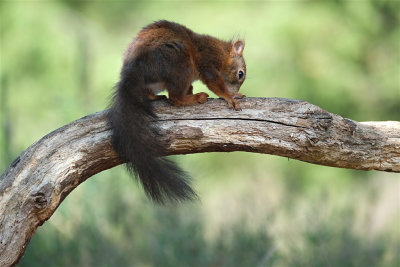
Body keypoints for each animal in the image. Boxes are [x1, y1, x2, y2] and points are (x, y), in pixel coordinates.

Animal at [108, 20, 247, 205]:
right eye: (240, 74)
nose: (235, 90)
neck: (221, 52)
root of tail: (132, 71)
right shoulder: (207, 62)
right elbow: (214, 83)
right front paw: (230, 96)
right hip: (181, 62)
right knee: (175, 98)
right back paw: (196, 98)